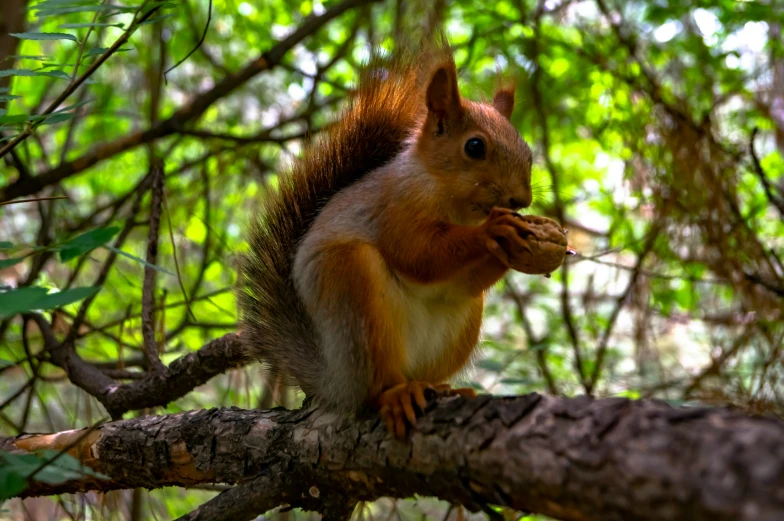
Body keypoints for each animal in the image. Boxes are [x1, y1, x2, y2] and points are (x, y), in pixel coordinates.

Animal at [236, 36, 568, 436]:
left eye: (527, 151)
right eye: (474, 146)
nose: (522, 199)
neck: (457, 204)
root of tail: (333, 384)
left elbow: (461, 278)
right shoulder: (395, 207)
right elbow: (418, 254)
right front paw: (495, 230)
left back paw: (442, 388)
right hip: (354, 297)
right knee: (377, 384)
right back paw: (397, 394)